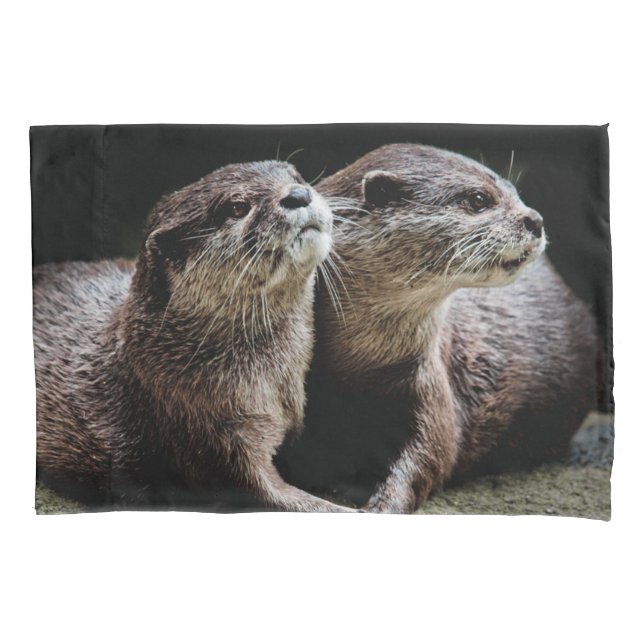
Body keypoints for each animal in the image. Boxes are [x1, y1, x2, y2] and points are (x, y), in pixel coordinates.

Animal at [277, 144, 598, 513]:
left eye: (515, 192)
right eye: (478, 199)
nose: (535, 220)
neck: (358, 366)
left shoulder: (431, 380)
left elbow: (432, 454)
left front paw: (383, 503)